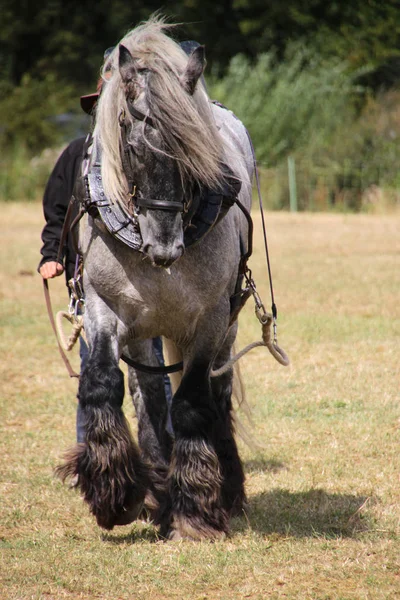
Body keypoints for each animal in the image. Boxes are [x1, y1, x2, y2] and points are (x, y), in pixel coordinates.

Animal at [57, 18, 253, 540]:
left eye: (193, 147)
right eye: (129, 140)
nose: (164, 246)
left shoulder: (209, 320)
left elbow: (192, 402)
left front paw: (195, 510)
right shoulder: (103, 307)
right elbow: (103, 383)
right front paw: (114, 493)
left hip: (222, 327)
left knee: (215, 394)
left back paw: (225, 489)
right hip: (146, 329)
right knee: (148, 394)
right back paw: (156, 483)